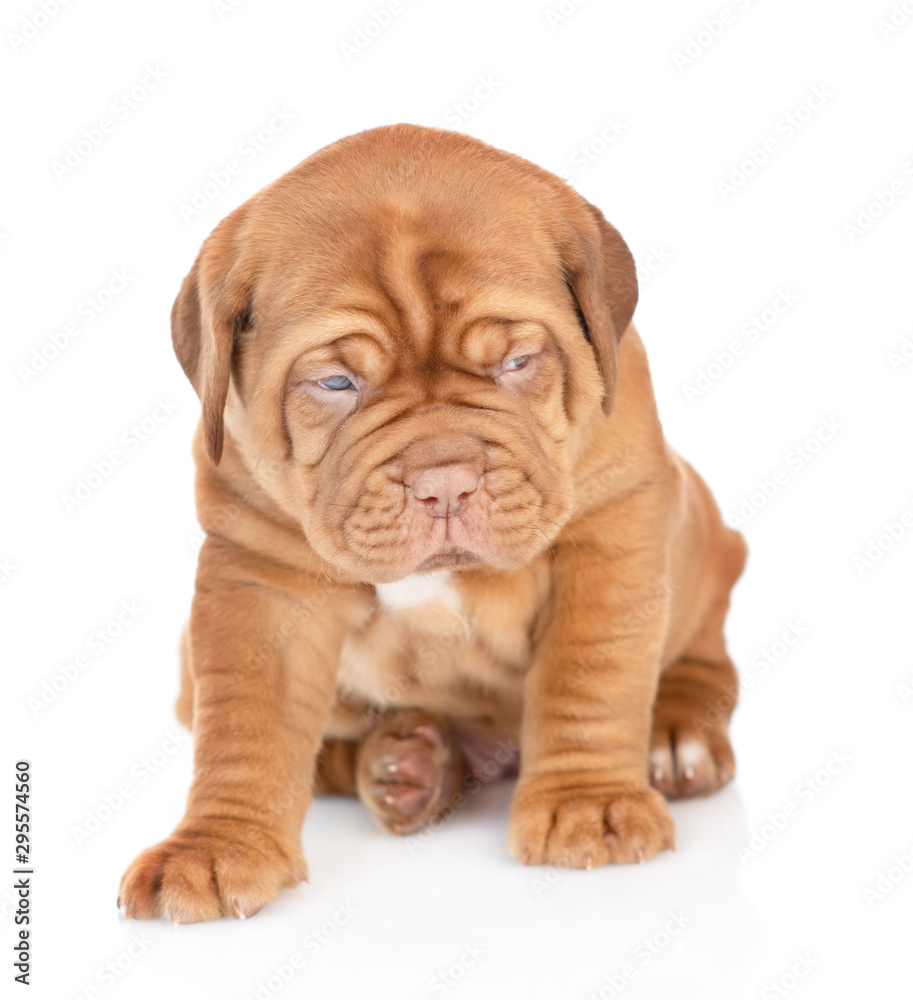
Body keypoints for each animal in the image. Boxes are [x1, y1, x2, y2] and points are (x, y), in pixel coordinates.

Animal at [119, 123, 748, 920]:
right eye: (336, 382)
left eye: (517, 361)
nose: (443, 482)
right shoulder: (261, 579)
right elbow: (245, 723)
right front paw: (214, 847)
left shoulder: (611, 531)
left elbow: (589, 676)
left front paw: (589, 805)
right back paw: (408, 765)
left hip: (703, 534)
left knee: (703, 646)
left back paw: (674, 738)